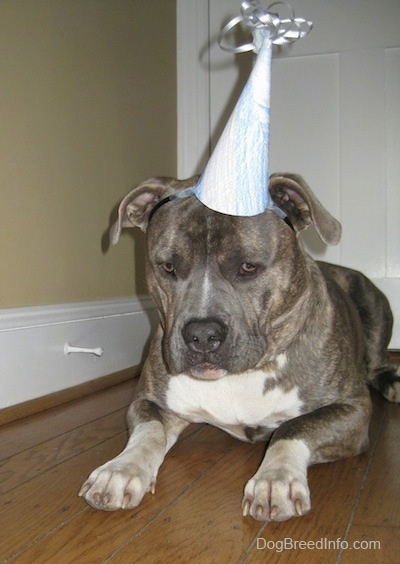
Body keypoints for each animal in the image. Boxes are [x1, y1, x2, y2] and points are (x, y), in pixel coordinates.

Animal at [78, 174, 396, 524]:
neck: (243, 374)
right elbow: (149, 429)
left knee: (378, 361)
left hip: (373, 302)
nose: (202, 335)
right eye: (168, 266)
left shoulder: (352, 409)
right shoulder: (148, 401)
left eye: (248, 266)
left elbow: (295, 427)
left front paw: (276, 480)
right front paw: (120, 469)